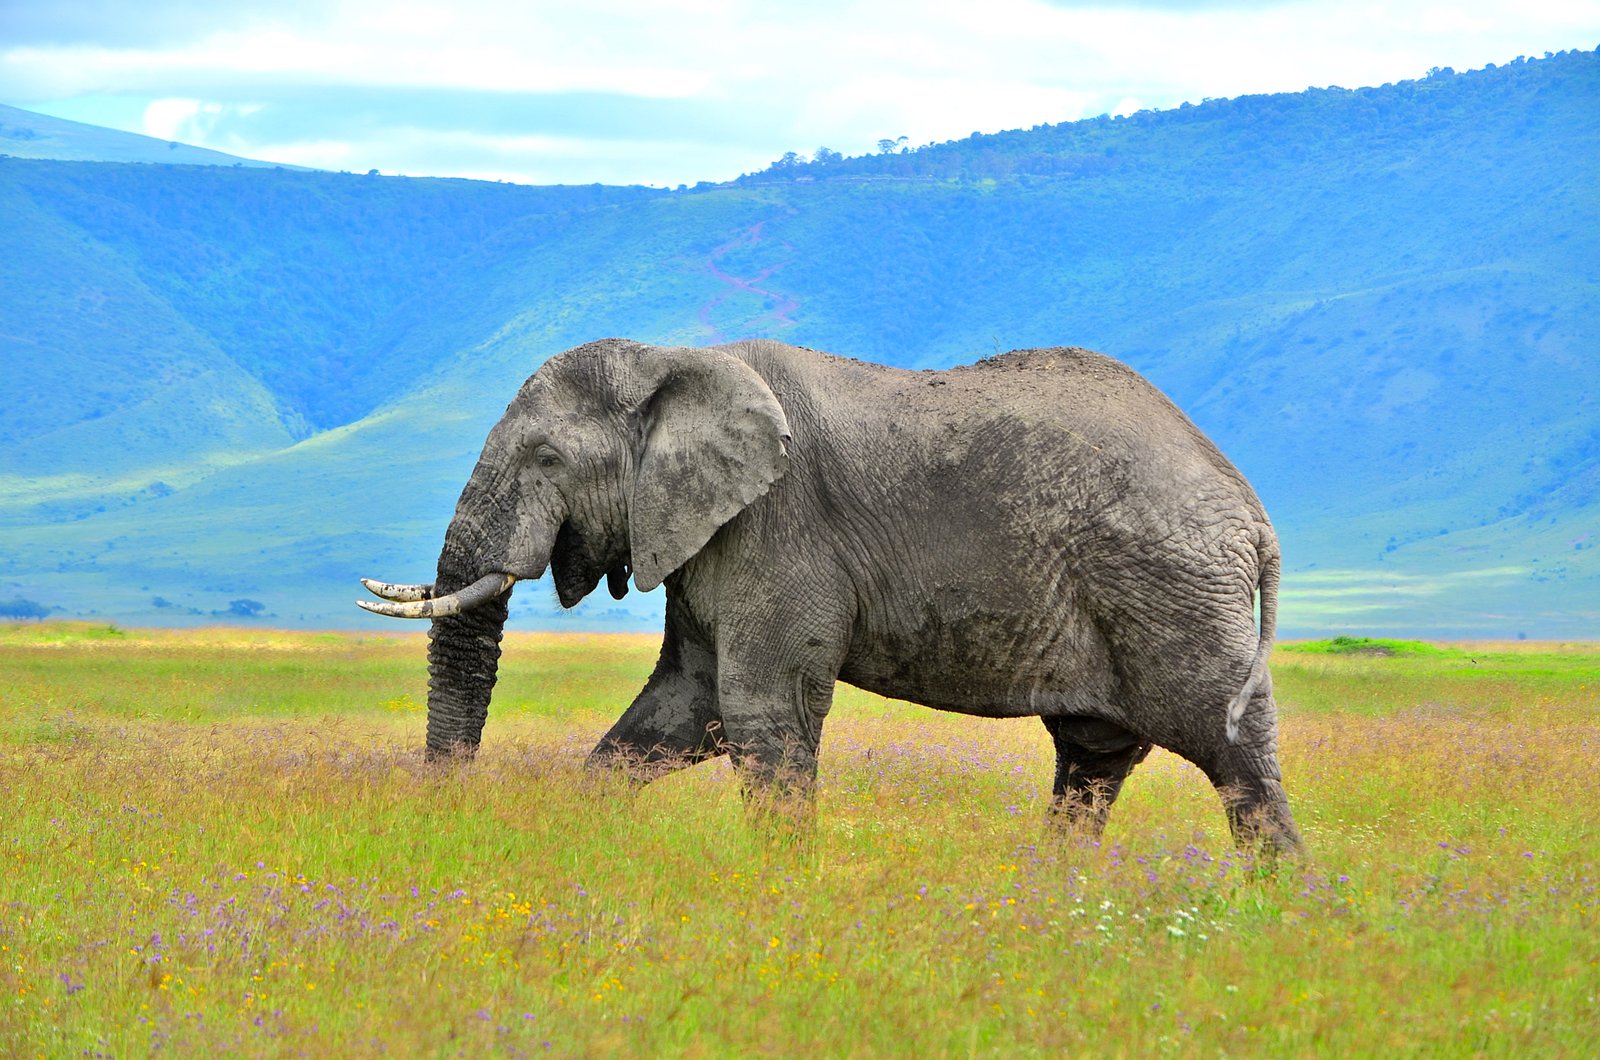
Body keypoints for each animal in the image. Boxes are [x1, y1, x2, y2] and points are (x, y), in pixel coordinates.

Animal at [360, 338, 1303, 854]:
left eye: (547, 459)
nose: (448, 819)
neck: (677, 357)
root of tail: (1250, 506)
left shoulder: (777, 528)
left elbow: (758, 708)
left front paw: (781, 900)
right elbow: (686, 706)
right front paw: (588, 834)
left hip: (1172, 589)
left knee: (1230, 755)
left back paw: (1284, 917)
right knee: (1094, 760)